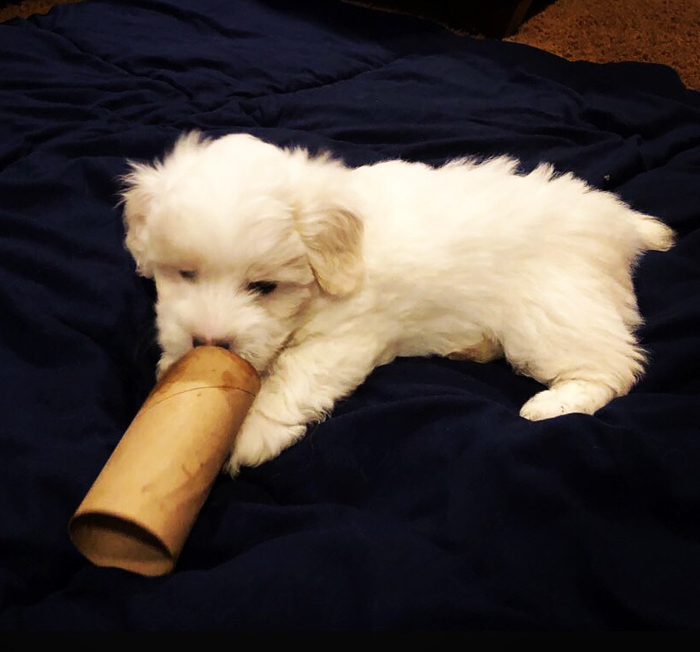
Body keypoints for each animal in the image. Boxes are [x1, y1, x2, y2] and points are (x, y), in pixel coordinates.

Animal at [120, 131, 672, 474]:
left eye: (264, 287)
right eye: (185, 274)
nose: (210, 340)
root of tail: (618, 223)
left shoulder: (345, 340)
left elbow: (292, 377)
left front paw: (250, 432)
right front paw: (175, 364)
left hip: (551, 314)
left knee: (615, 366)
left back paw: (553, 404)